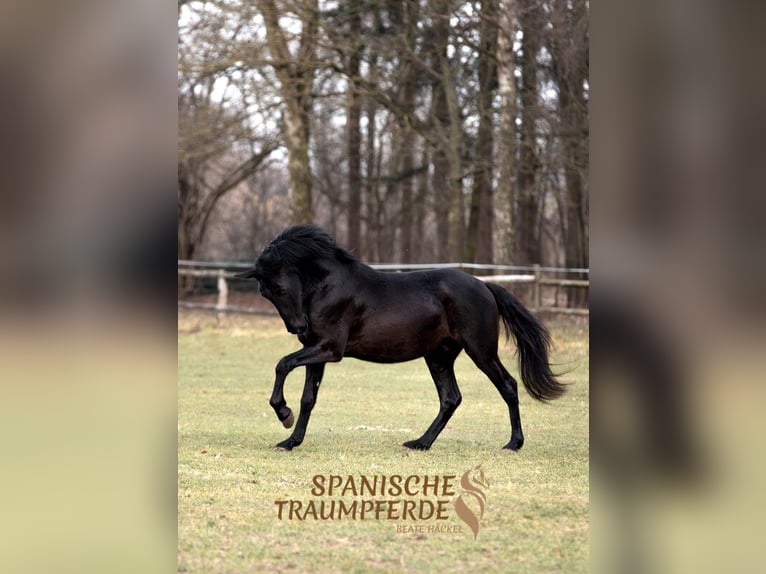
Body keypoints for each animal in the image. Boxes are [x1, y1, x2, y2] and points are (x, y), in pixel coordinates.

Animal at [235, 224, 566, 451]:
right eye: (264, 293)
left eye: (280, 288)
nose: (297, 327)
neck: (328, 286)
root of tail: (484, 286)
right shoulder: (316, 351)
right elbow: (308, 399)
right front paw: (290, 439)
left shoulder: (329, 349)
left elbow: (282, 364)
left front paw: (283, 413)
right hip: (439, 355)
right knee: (451, 398)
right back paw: (420, 443)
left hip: (481, 351)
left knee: (507, 386)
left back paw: (513, 443)